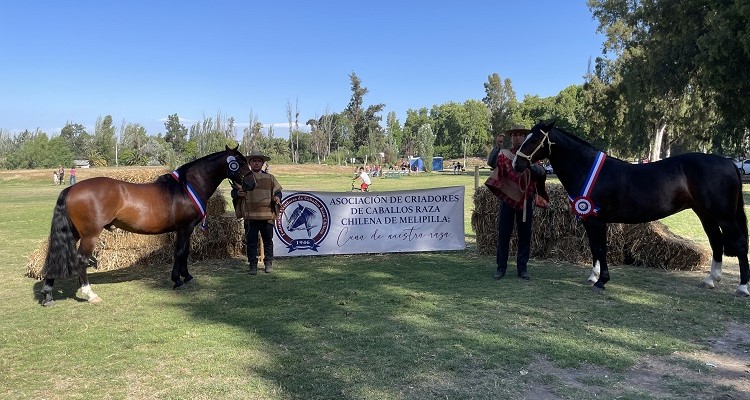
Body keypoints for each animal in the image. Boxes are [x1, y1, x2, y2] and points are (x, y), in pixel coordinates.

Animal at [39, 146, 258, 306]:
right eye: (238, 163)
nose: (252, 184)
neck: (186, 188)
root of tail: (71, 188)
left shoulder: (185, 230)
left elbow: (184, 252)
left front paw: (186, 276)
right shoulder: (184, 228)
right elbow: (180, 252)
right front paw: (177, 280)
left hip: (74, 233)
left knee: (56, 257)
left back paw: (48, 294)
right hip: (89, 235)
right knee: (81, 260)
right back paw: (90, 294)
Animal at [516, 120, 748, 296]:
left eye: (535, 140)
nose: (517, 164)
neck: (588, 170)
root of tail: (729, 163)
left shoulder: (596, 219)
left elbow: (600, 248)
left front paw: (602, 281)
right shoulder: (589, 218)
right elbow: (594, 247)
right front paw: (593, 276)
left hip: (724, 216)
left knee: (739, 243)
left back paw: (742, 288)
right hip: (706, 214)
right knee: (716, 242)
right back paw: (710, 280)